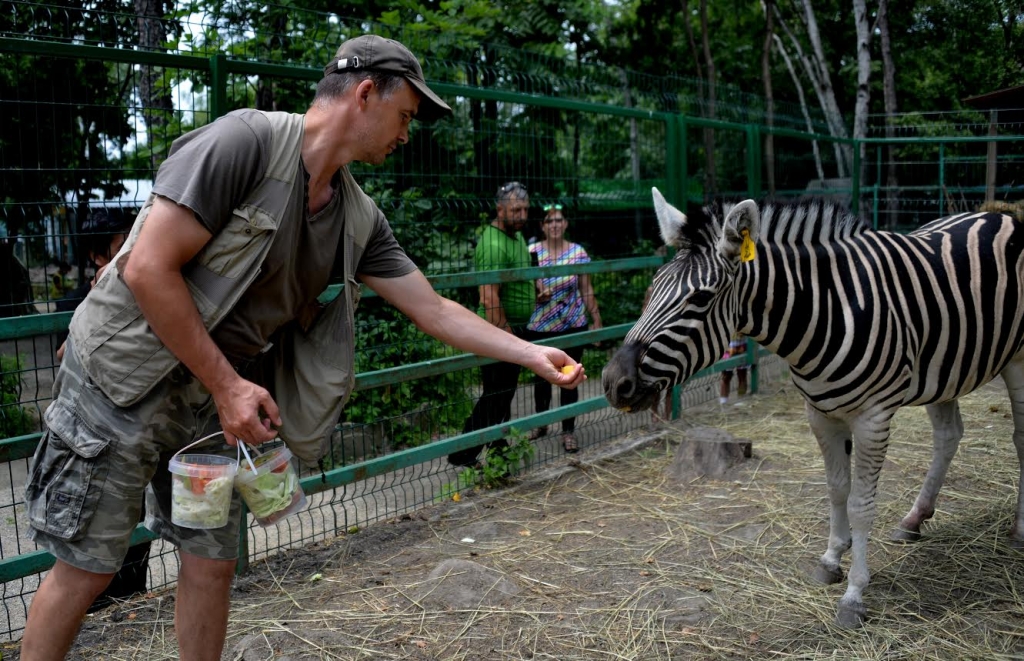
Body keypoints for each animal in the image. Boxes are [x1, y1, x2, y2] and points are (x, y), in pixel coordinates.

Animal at [602, 189, 1024, 630]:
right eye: (652, 288)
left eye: (699, 298)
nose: (613, 383)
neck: (825, 311)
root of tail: (998, 215)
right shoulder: (819, 414)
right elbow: (836, 488)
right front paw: (831, 560)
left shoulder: (872, 418)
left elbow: (861, 504)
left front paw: (854, 594)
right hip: (944, 371)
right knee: (947, 436)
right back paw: (913, 519)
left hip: (1017, 358)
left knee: (1019, 436)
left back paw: (1018, 531)